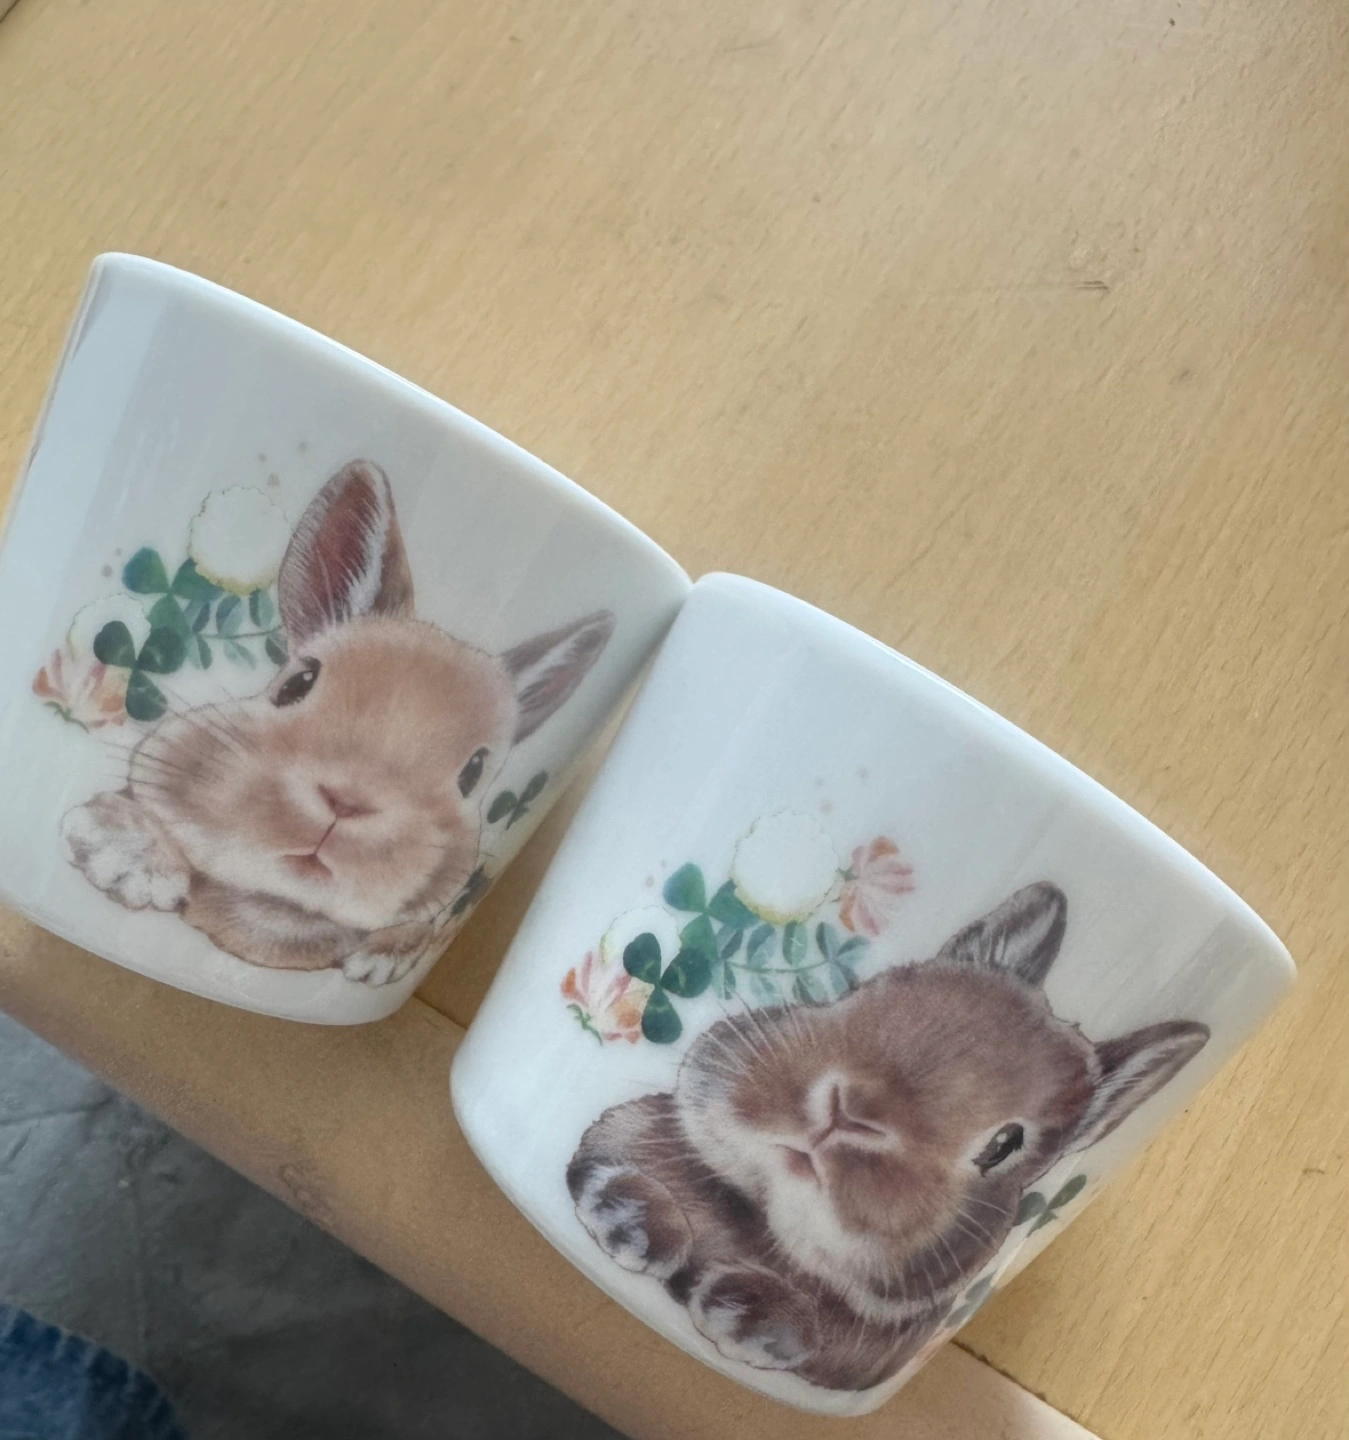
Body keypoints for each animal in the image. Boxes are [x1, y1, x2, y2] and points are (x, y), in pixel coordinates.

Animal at [61, 460, 615, 985]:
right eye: (298, 682)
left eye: (474, 772)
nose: (347, 803)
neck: (276, 911)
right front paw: (130, 857)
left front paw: (386, 957)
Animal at [567, 883, 1210, 1392]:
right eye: (877, 991)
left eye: (1005, 1145)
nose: (849, 1115)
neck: (757, 1228)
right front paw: (632, 1212)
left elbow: (821, 1334)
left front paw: (751, 1313)